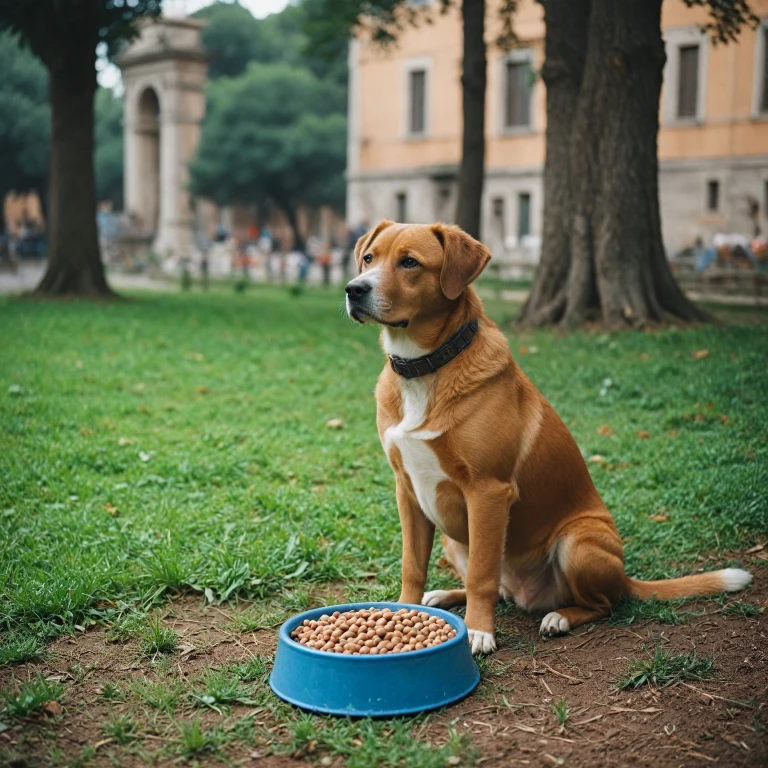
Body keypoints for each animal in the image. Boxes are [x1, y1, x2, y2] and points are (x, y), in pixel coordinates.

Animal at [344, 220, 752, 656]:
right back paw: (445, 597)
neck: (425, 366)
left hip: (577, 542)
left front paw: (478, 631)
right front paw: (406, 611)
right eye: (369, 258)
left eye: (409, 263)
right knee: (499, 588)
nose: (353, 289)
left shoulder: (488, 492)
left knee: (599, 603)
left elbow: (482, 576)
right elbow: (413, 566)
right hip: (457, 542)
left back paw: (559, 617)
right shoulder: (408, 490)